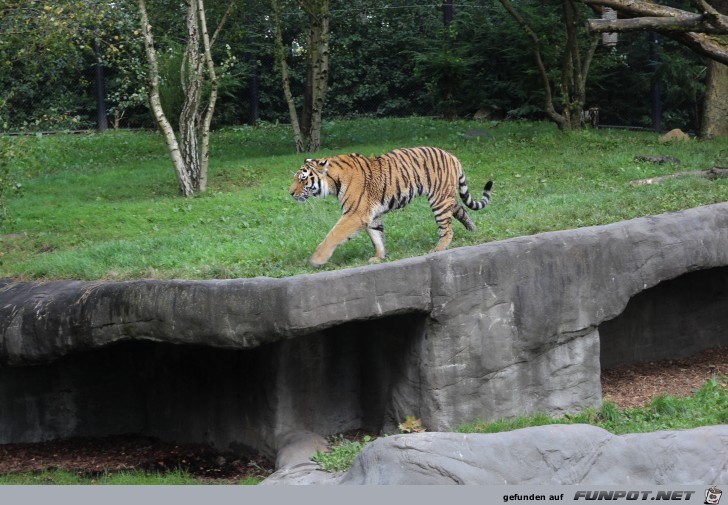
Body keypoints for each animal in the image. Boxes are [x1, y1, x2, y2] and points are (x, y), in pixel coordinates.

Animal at [288, 146, 492, 268]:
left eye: (302, 179)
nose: (290, 193)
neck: (333, 182)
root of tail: (452, 155)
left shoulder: (354, 214)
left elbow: (333, 235)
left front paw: (316, 260)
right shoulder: (371, 215)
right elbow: (377, 236)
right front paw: (379, 257)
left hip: (439, 200)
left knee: (447, 228)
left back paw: (438, 249)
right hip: (447, 196)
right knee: (462, 211)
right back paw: (474, 231)